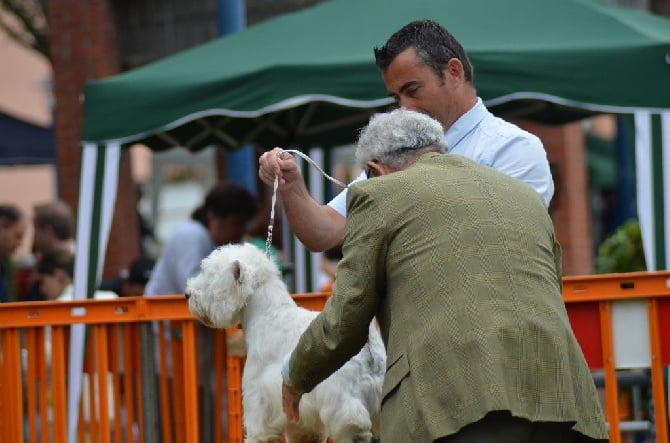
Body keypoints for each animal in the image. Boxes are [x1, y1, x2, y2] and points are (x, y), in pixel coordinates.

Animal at [186, 245, 386, 443]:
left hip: (343, 407)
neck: (267, 314)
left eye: (210, 276)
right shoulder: (302, 422)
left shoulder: (259, 403)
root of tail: (369, 345)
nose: (188, 294)